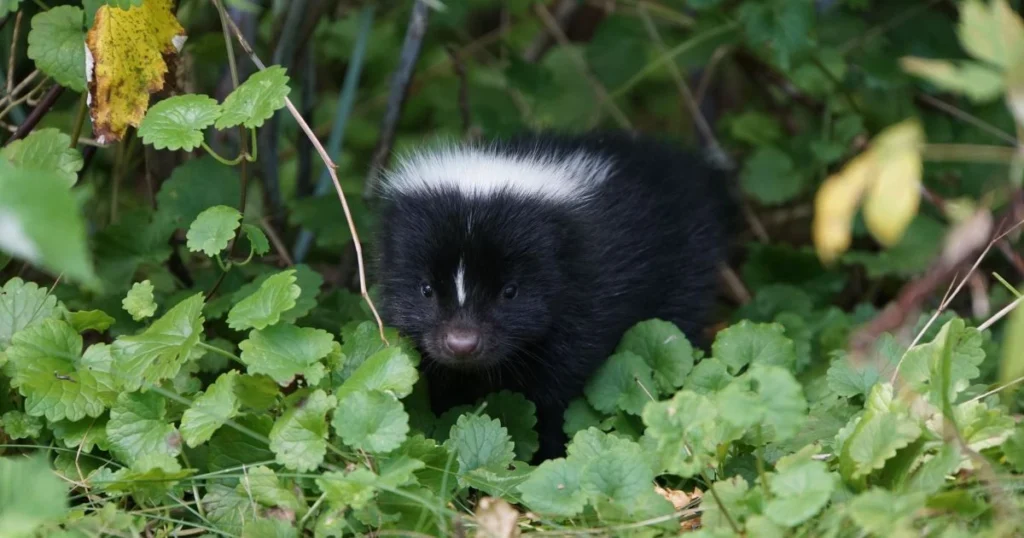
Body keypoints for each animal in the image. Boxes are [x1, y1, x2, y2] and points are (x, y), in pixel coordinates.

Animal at [372, 131, 733, 461]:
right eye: (426, 289)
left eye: (510, 291)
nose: (462, 343)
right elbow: (442, 385)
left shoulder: (585, 299)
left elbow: (554, 394)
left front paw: (546, 457)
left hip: (684, 266)